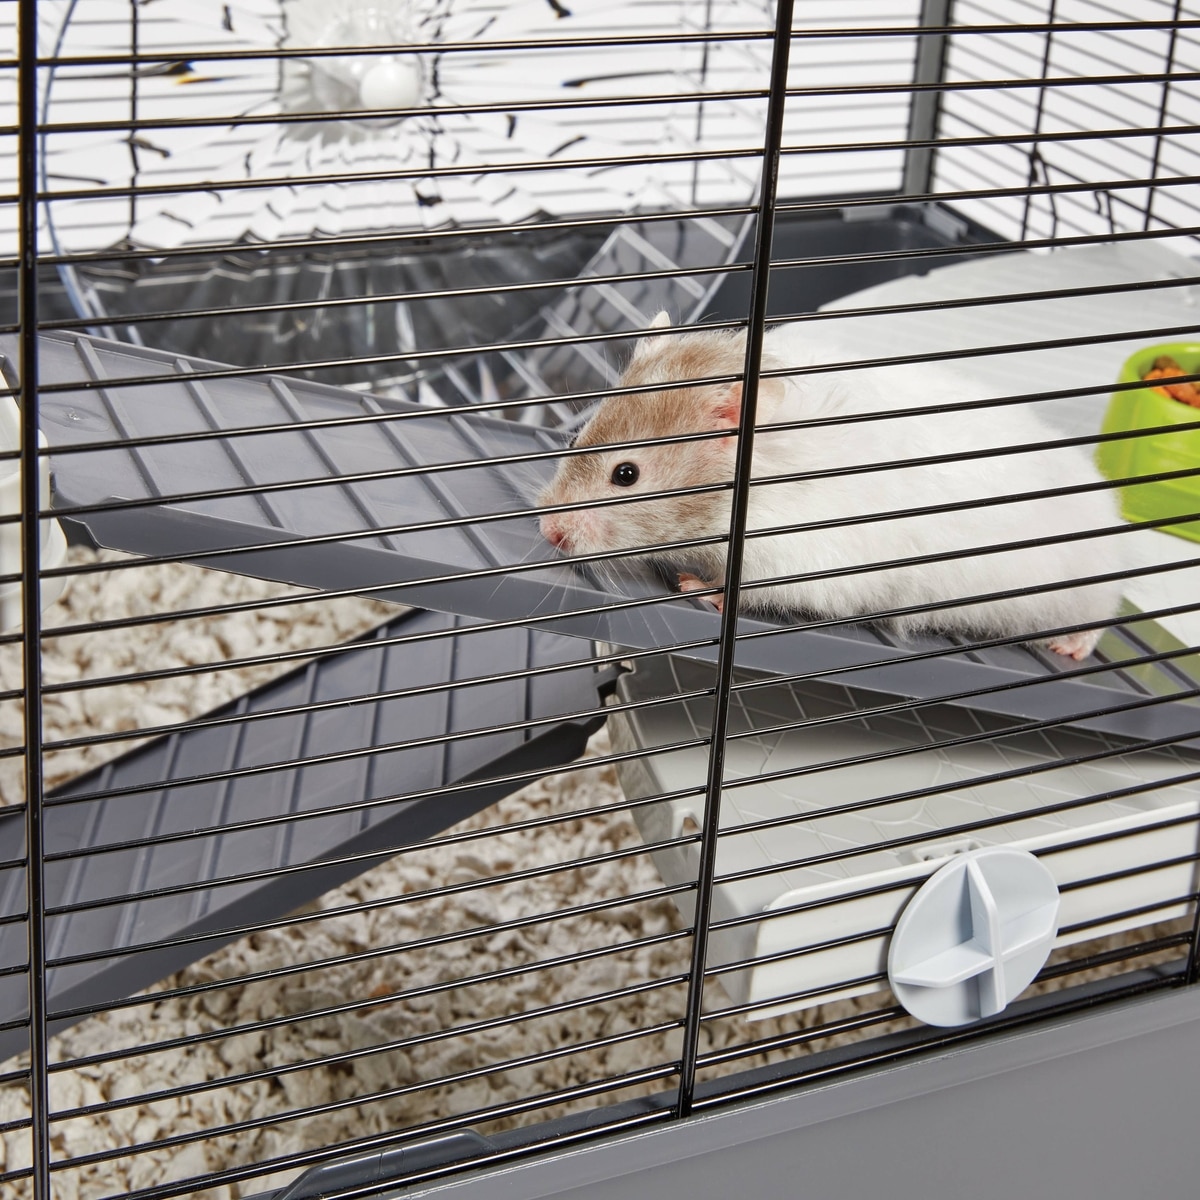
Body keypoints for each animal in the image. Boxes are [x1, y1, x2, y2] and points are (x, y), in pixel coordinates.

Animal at [537, 313, 1127, 660]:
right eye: (575, 438)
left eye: (626, 474)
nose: (548, 532)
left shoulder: (800, 560)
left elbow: (750, 590)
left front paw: (693, 586)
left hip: (1077, 590)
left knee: (1102, 614)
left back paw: (1070, 648)